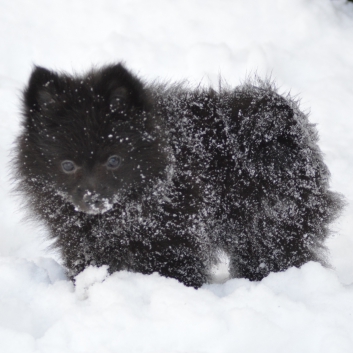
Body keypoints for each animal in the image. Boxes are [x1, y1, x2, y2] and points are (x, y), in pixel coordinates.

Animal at [15, 63, 342, 288]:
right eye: (67, 165)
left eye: (114, 160)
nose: (93, 199)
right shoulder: (80, 244)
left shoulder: (175, 236)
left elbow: (180, 271)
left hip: (270, 222)